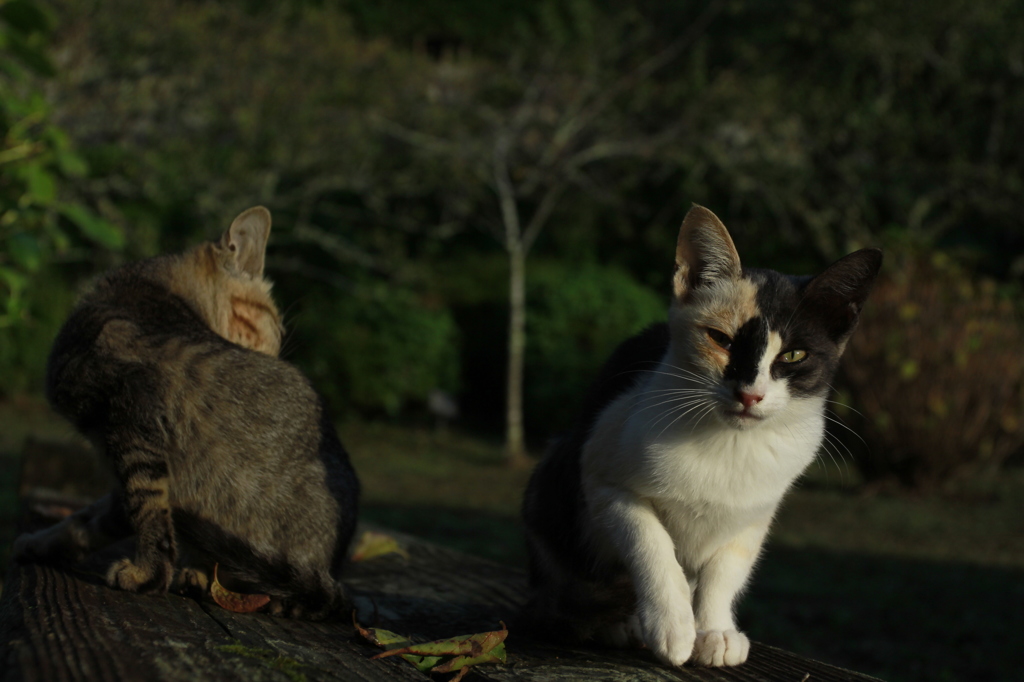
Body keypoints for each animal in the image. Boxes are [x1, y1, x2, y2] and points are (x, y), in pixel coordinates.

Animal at [12, 206, 360, 614]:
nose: (272, 361)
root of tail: (330, 577)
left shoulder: (133, 413)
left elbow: (147, 509)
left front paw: (147, 575)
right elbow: (91, 519)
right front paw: (39, 543)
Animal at [520, 205, 880, 663]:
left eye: (794, 354)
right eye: (720, 339)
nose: (751, 394)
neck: (729, 444)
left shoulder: (756, 514)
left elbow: (726, 569)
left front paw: (714, 628)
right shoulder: (603, 477)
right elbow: (651, 542)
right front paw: (672, 624)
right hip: (556, 475)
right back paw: (617, 621)